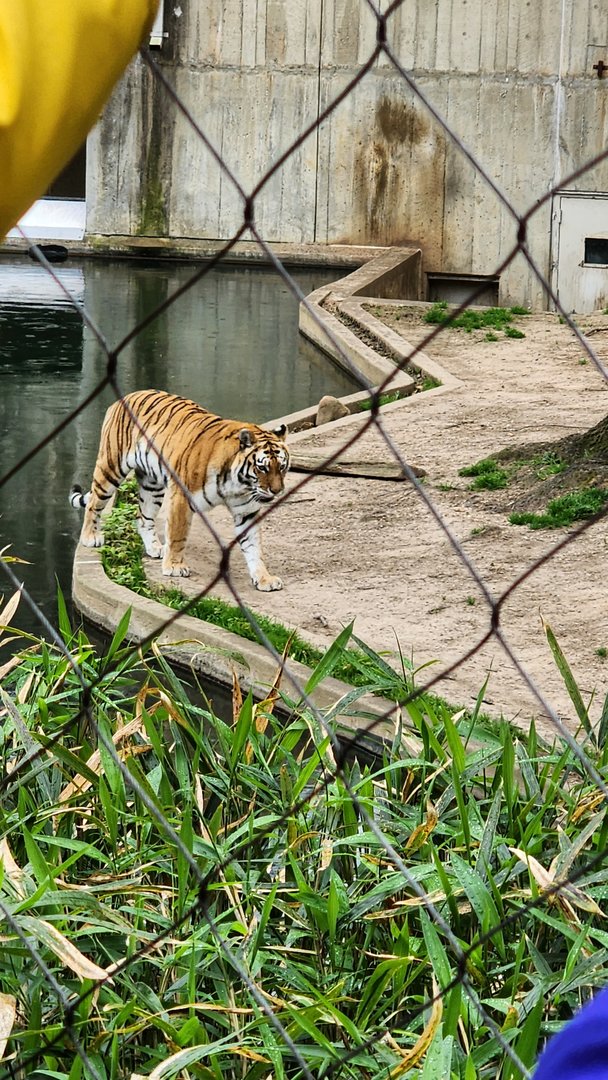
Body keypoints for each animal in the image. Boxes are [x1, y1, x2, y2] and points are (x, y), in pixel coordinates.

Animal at [69, 389, 290, 591]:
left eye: (282, 467)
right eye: (262, 468)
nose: (277, 491)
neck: (238, 483)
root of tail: (125, 397)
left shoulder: (246, 511)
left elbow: (254, 547)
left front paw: (264, 578)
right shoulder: (182, 498)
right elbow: (178, 534)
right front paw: (174, 567)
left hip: (152, 485)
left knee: (143, 517)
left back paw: (155, 547)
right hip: (111, 468)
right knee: (93, 503)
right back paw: (90, 537)